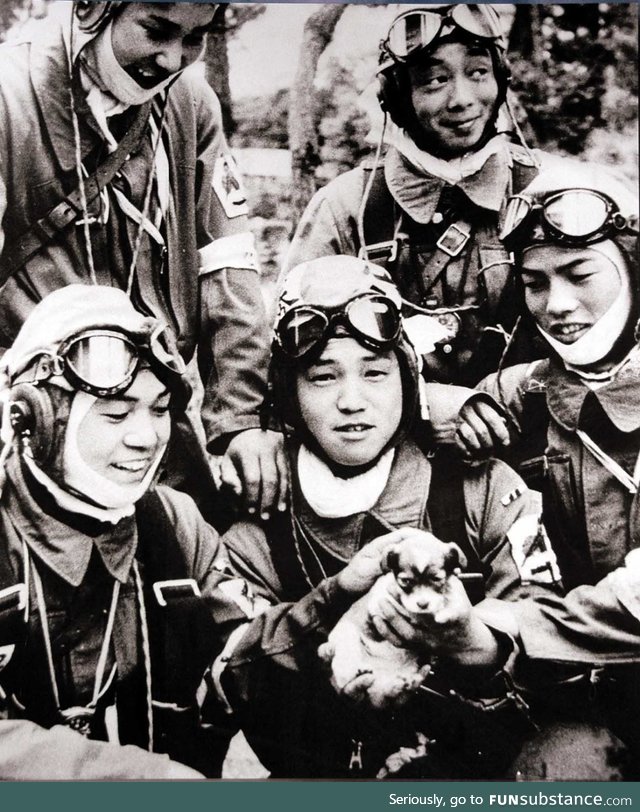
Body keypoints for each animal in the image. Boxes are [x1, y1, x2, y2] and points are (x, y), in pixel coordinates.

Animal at [318, 532, 464, 712]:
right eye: (406, 581)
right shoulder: (378, 605)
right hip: (345, 637)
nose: (422, 604)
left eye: (436, 579)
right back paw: (357, 670)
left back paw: (405, 683)